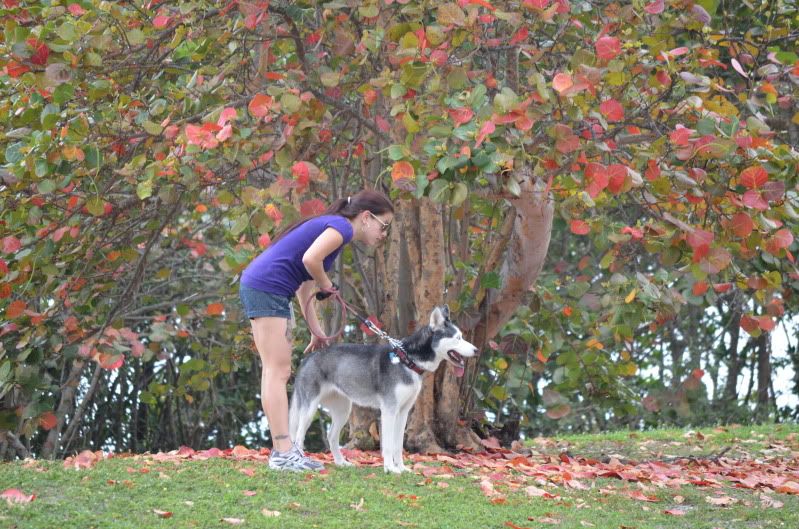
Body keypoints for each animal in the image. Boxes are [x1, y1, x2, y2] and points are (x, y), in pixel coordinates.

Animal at [288, 306, 476, 474]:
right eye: (458, 338)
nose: (476, 350)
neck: (407, 360)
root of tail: (307, 358)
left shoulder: (403, 412)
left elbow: (398, 445)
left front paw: (401, 468)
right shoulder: (389, 411)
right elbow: (388, 445)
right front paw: (390, 469)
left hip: (343, 411)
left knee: (331, 437)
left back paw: (341, 463)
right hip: (309, 409)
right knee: (298, 437)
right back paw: (302, 463)